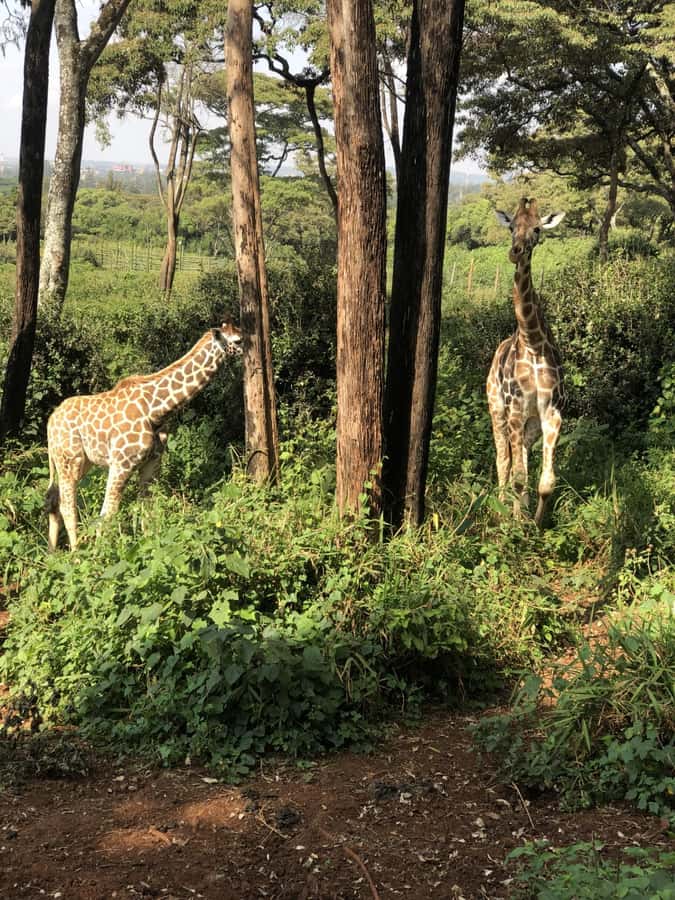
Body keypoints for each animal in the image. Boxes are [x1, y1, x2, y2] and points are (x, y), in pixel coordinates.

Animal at [46, 322, 243, 550]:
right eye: (238, 340)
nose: (247, 351)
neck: (156, 409)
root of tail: (50, 422)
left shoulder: (152, 462)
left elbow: (146, 510)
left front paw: (149, 546)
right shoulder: (121, 463)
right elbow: (108, 514)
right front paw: (103, 554)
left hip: (78, 462)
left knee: (54, 501)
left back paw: (52, 552)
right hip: (69, 459)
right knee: (68, 506)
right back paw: (76, 554)